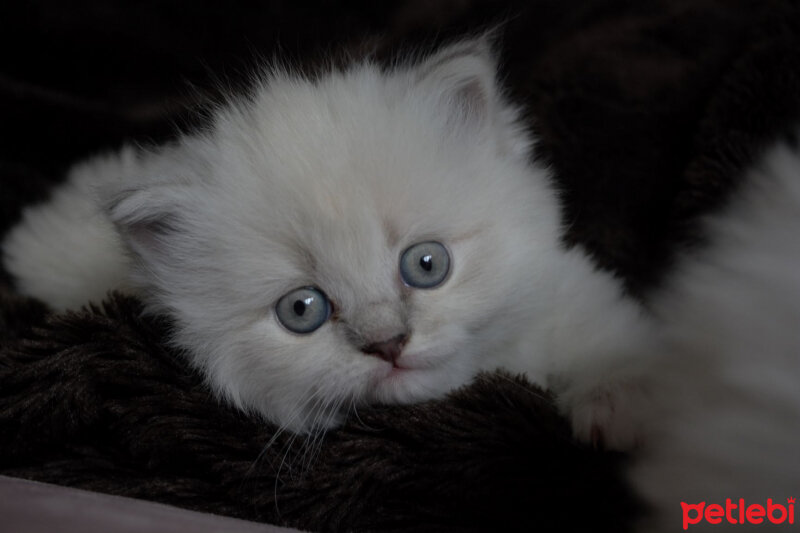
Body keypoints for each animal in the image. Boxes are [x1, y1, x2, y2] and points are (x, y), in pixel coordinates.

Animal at [3, 40, 648, 436]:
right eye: (302, 310)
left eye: (427, 265)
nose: (388, 344)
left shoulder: (565, 287)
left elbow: (608, 339)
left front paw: (617, 404)